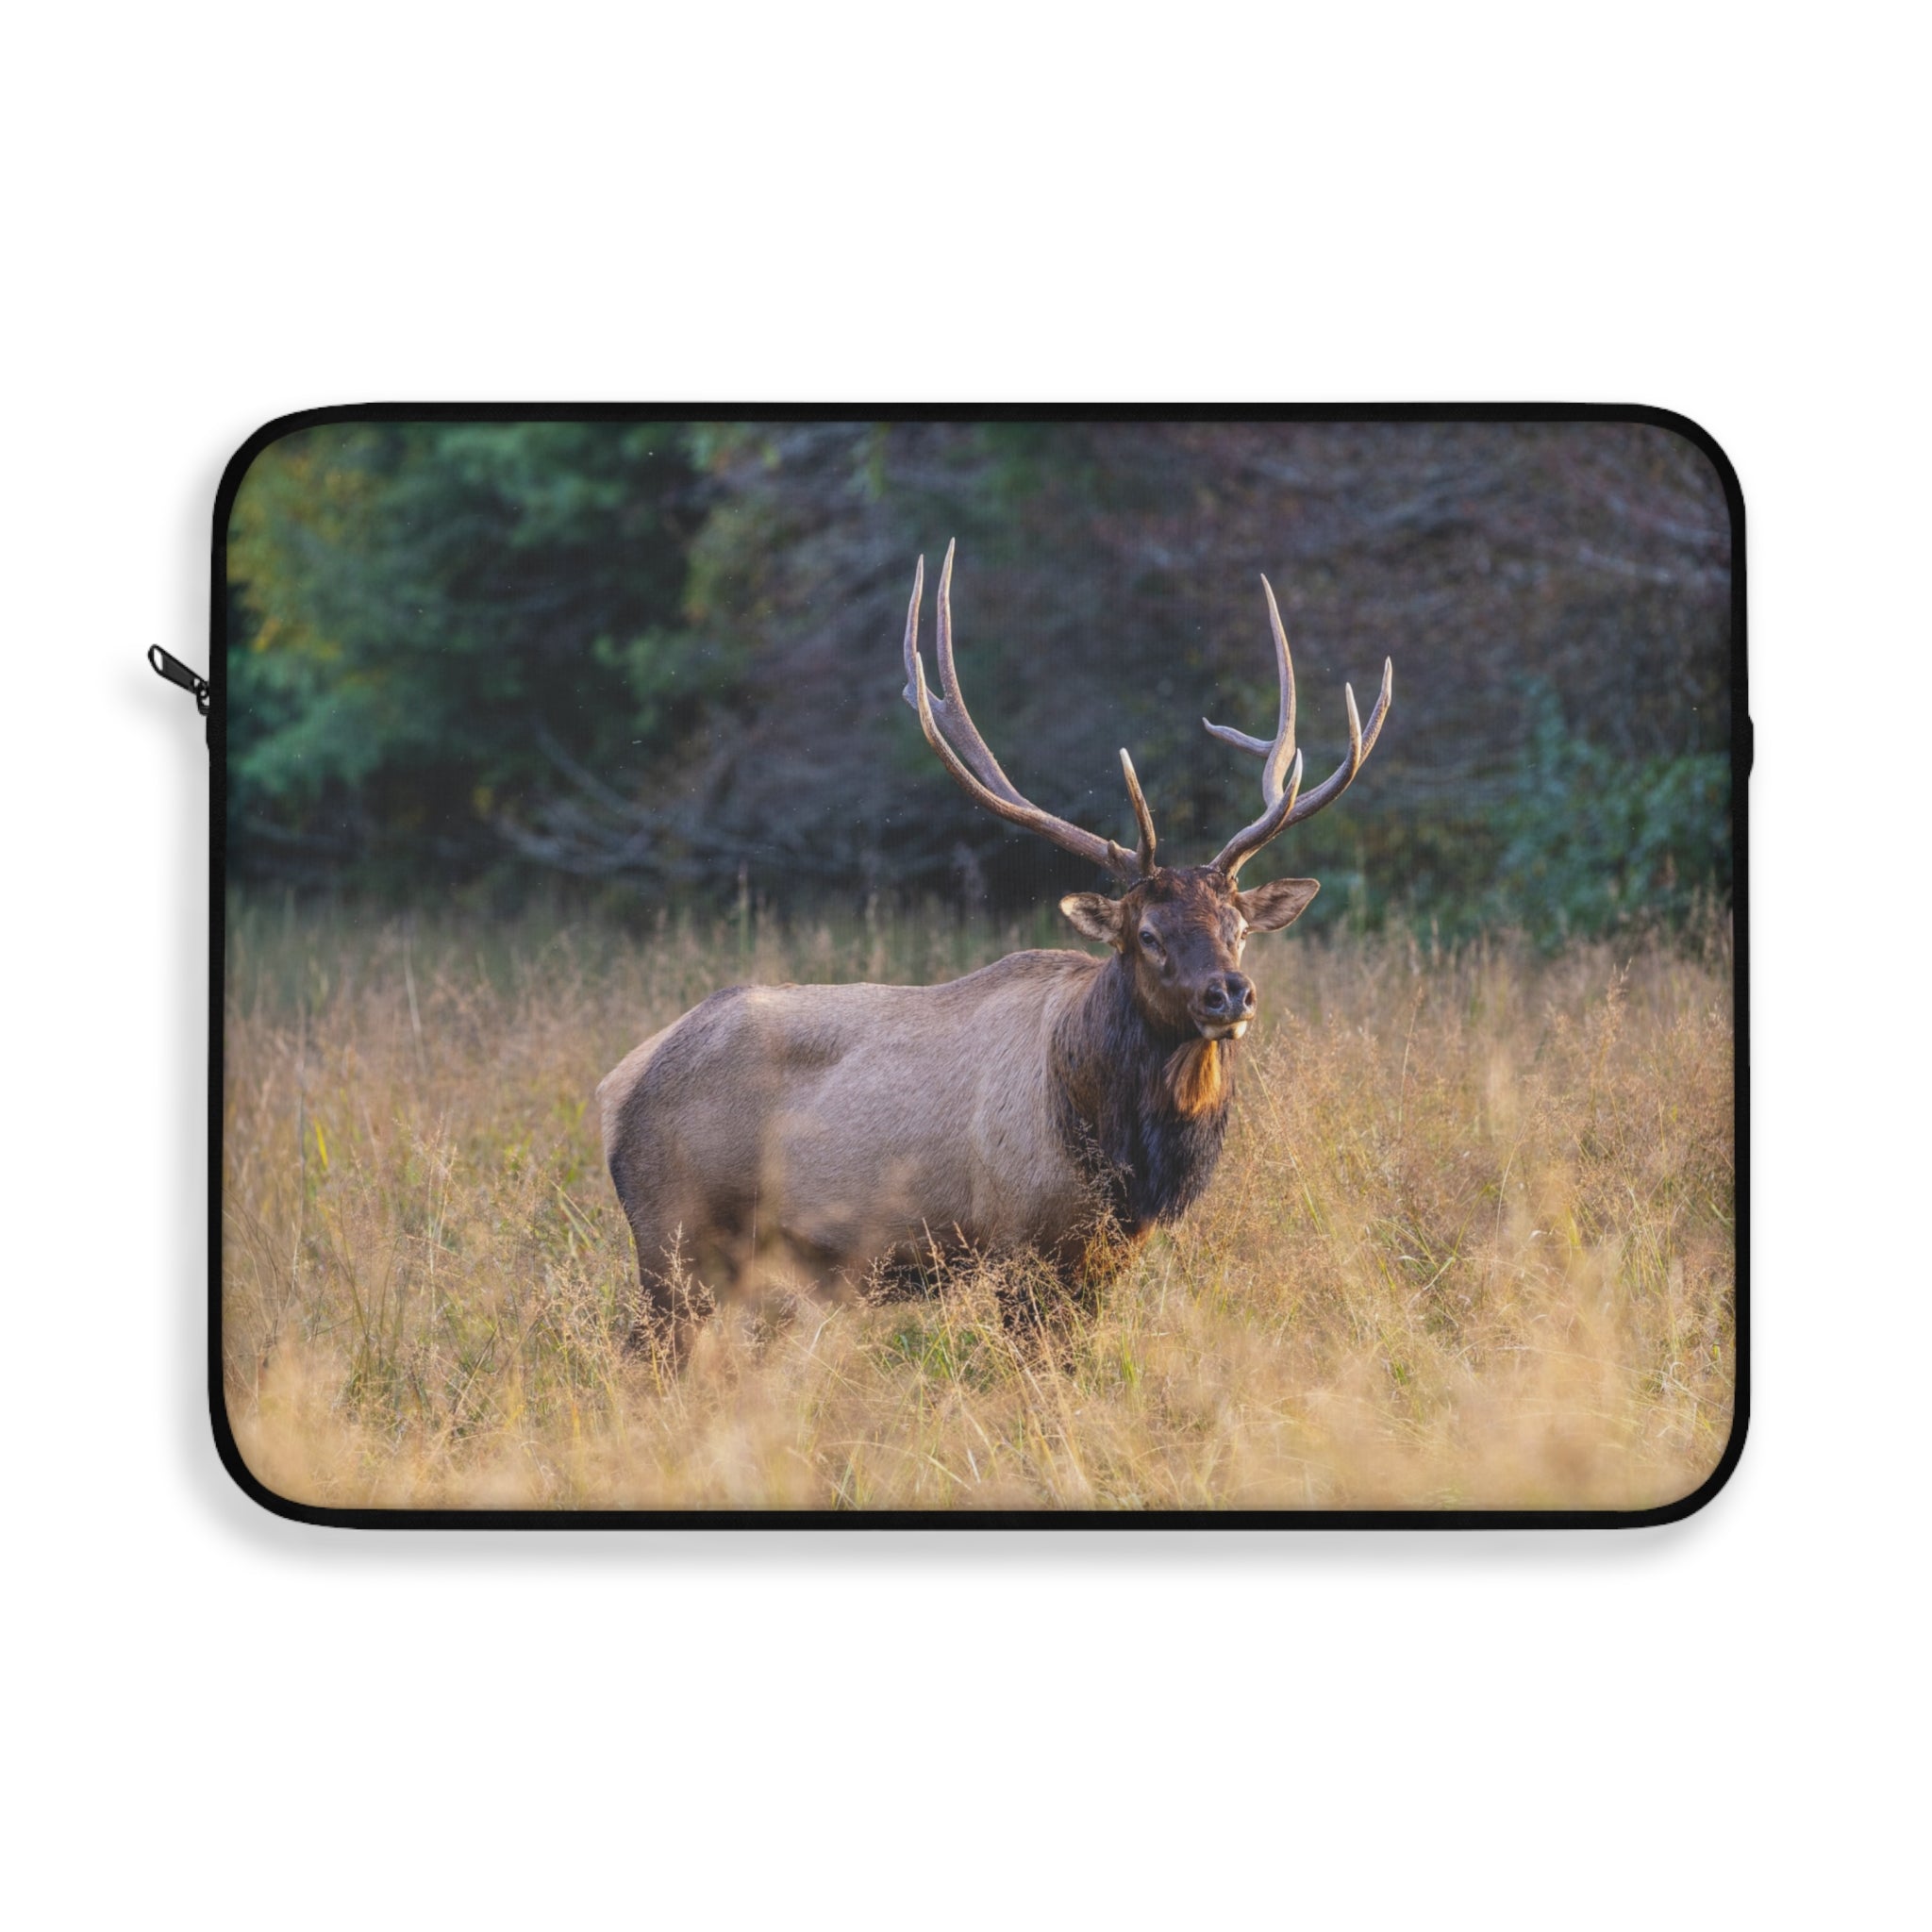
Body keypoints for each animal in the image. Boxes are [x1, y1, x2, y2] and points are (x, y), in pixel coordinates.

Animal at [597, 542, 1391, 1346]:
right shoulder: (1019, 1244)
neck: (1120, 1150)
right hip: (676, 1236)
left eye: (1239, 929)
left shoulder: (1104, 1257)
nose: (1229, 993)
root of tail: (616, 1086)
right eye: (1148, 934)